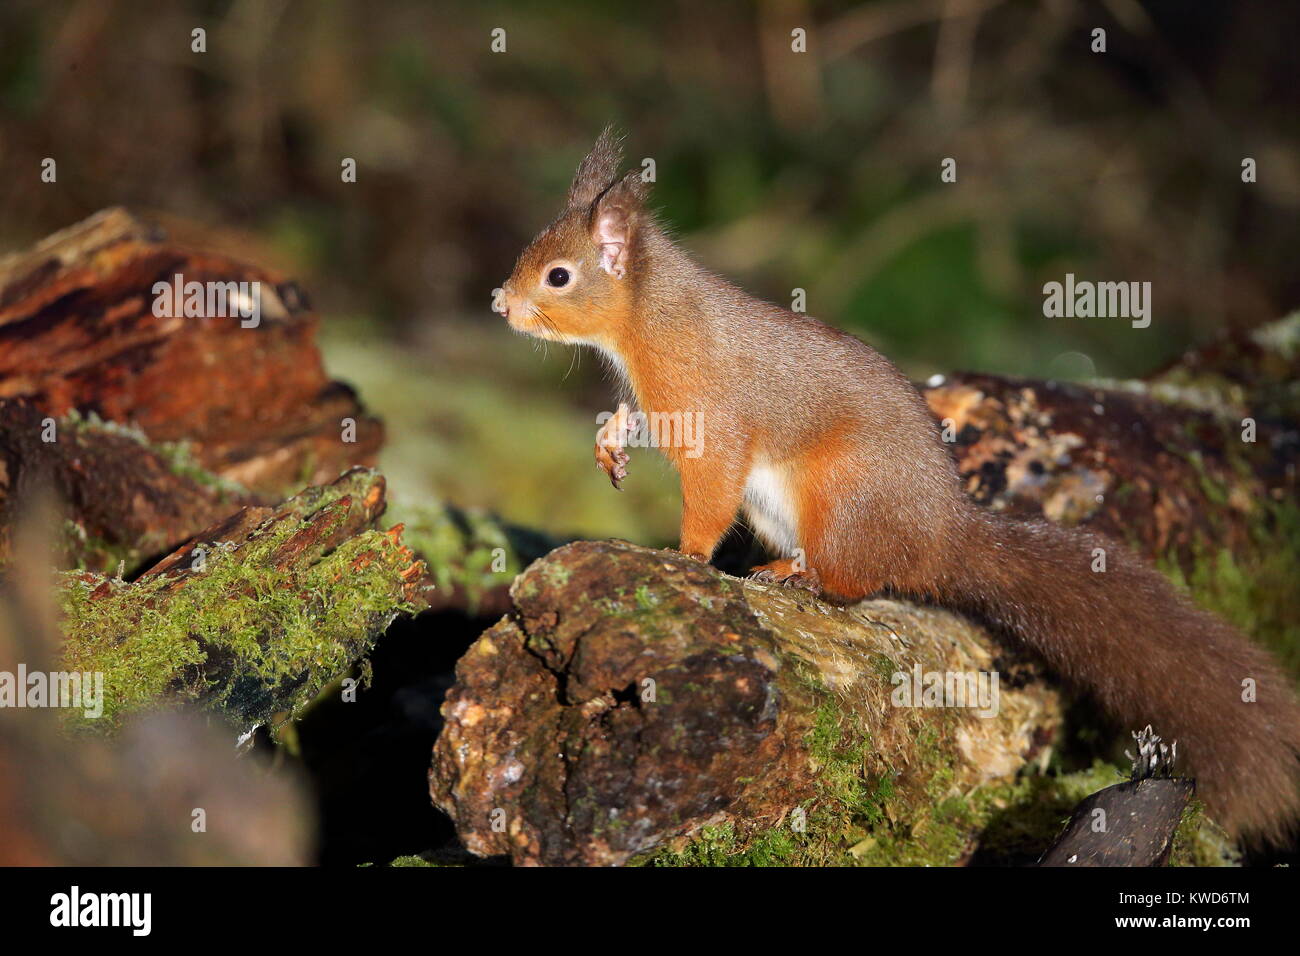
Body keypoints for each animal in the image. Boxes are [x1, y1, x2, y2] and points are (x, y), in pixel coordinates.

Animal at [493, 127, 1300, 842]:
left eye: (559, 275)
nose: (500, 303)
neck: (648, 322)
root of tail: (943, 533)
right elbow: (628, 422)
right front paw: (609, 446)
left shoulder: (713, 423)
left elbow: (710, 494)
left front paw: (686, 557)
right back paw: (784, 568)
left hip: (839, 494)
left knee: (858, 580)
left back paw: (808, 580)